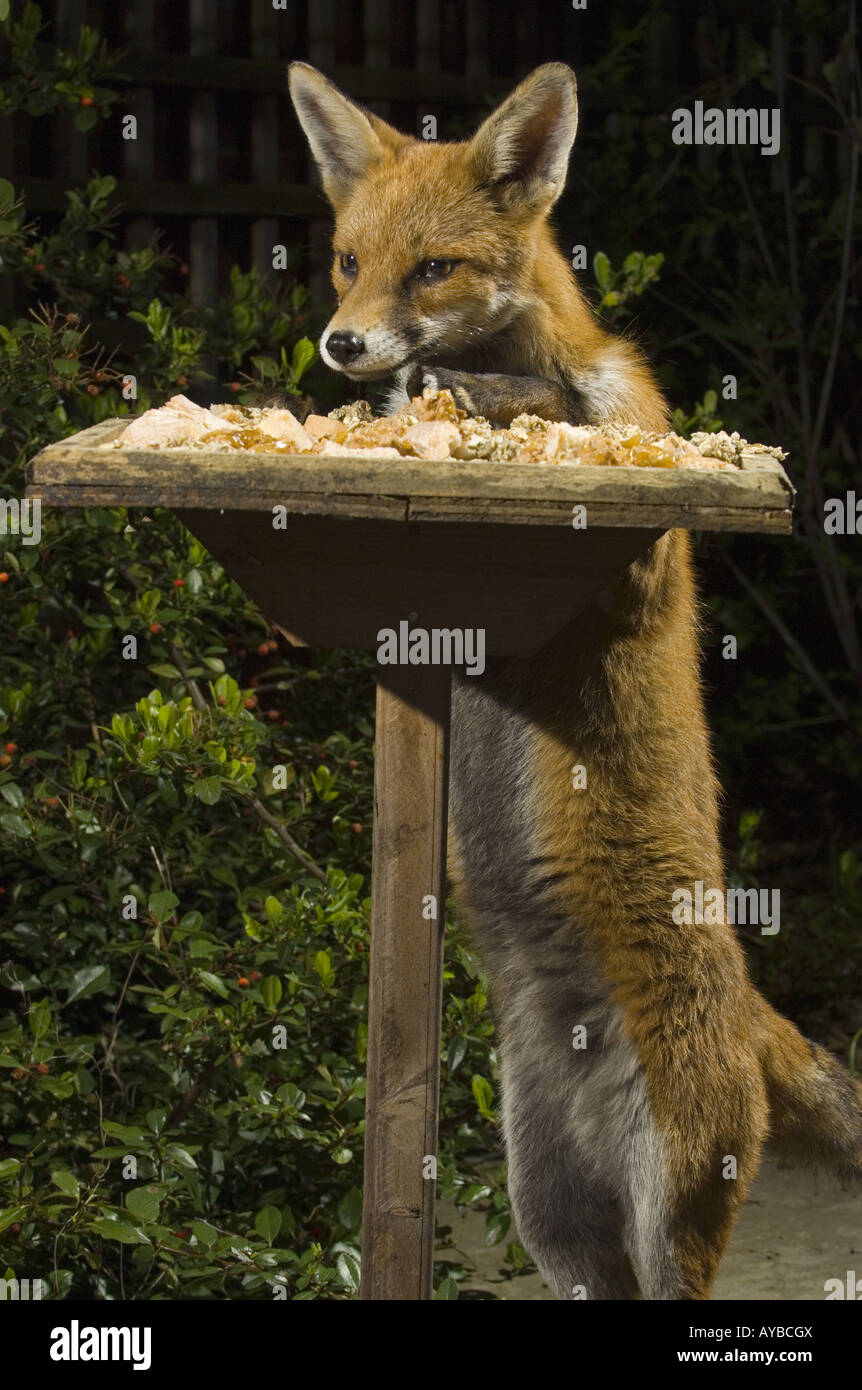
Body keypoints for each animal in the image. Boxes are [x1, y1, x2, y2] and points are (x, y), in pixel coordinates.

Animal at [290, 56, 862, 1289]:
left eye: (433, 268)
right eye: (348, 261)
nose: (344, 347)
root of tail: (755, 1010)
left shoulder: (641, 535)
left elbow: (565, 413)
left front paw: (483, 403)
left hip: (665, 1223)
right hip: (551, 1217)